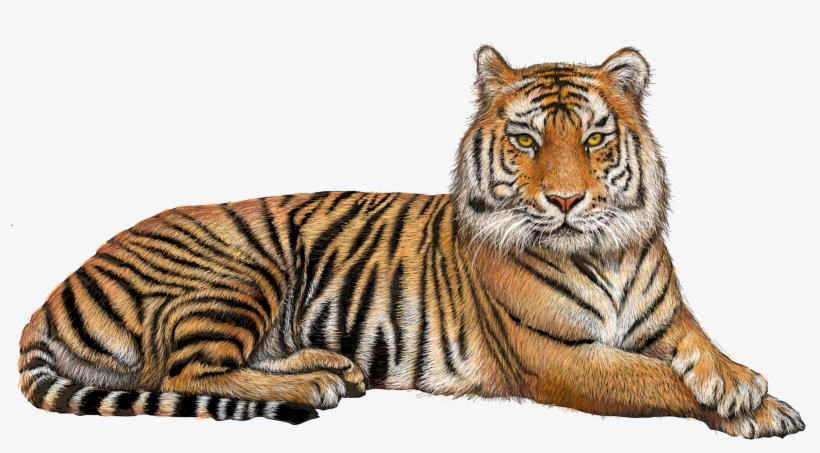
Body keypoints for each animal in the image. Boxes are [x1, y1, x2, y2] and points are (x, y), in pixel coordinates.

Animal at [18, 46, 805, 438]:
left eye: (593, 139)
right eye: (526, 141)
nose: (566, 200)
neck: (605, 251)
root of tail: (52, 295)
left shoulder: (666, 317)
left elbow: (699, 345)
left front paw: (744, 385)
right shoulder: (558, 357)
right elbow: (656, 379)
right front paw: (754, 409)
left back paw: (332, 365)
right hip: (238, 270)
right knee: (184, 372)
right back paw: (312, 383)